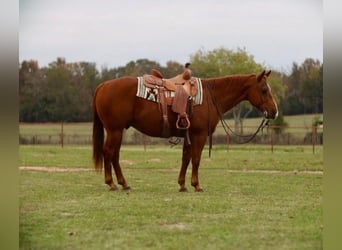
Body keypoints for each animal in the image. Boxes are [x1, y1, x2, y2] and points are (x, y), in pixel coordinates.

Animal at [91, 70, 278, 191]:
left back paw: (123, 183)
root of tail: (103, 85)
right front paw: (196, 185)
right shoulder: (199, 135)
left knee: (115, 155)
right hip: (114, 130)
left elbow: (185, 158)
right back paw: (111, 183)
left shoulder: (189, 135)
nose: (274, 111)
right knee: (108, 152)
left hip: (118, 131)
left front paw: (182, 184)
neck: (211, 97)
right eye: (264, 90)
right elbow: (196, 159)